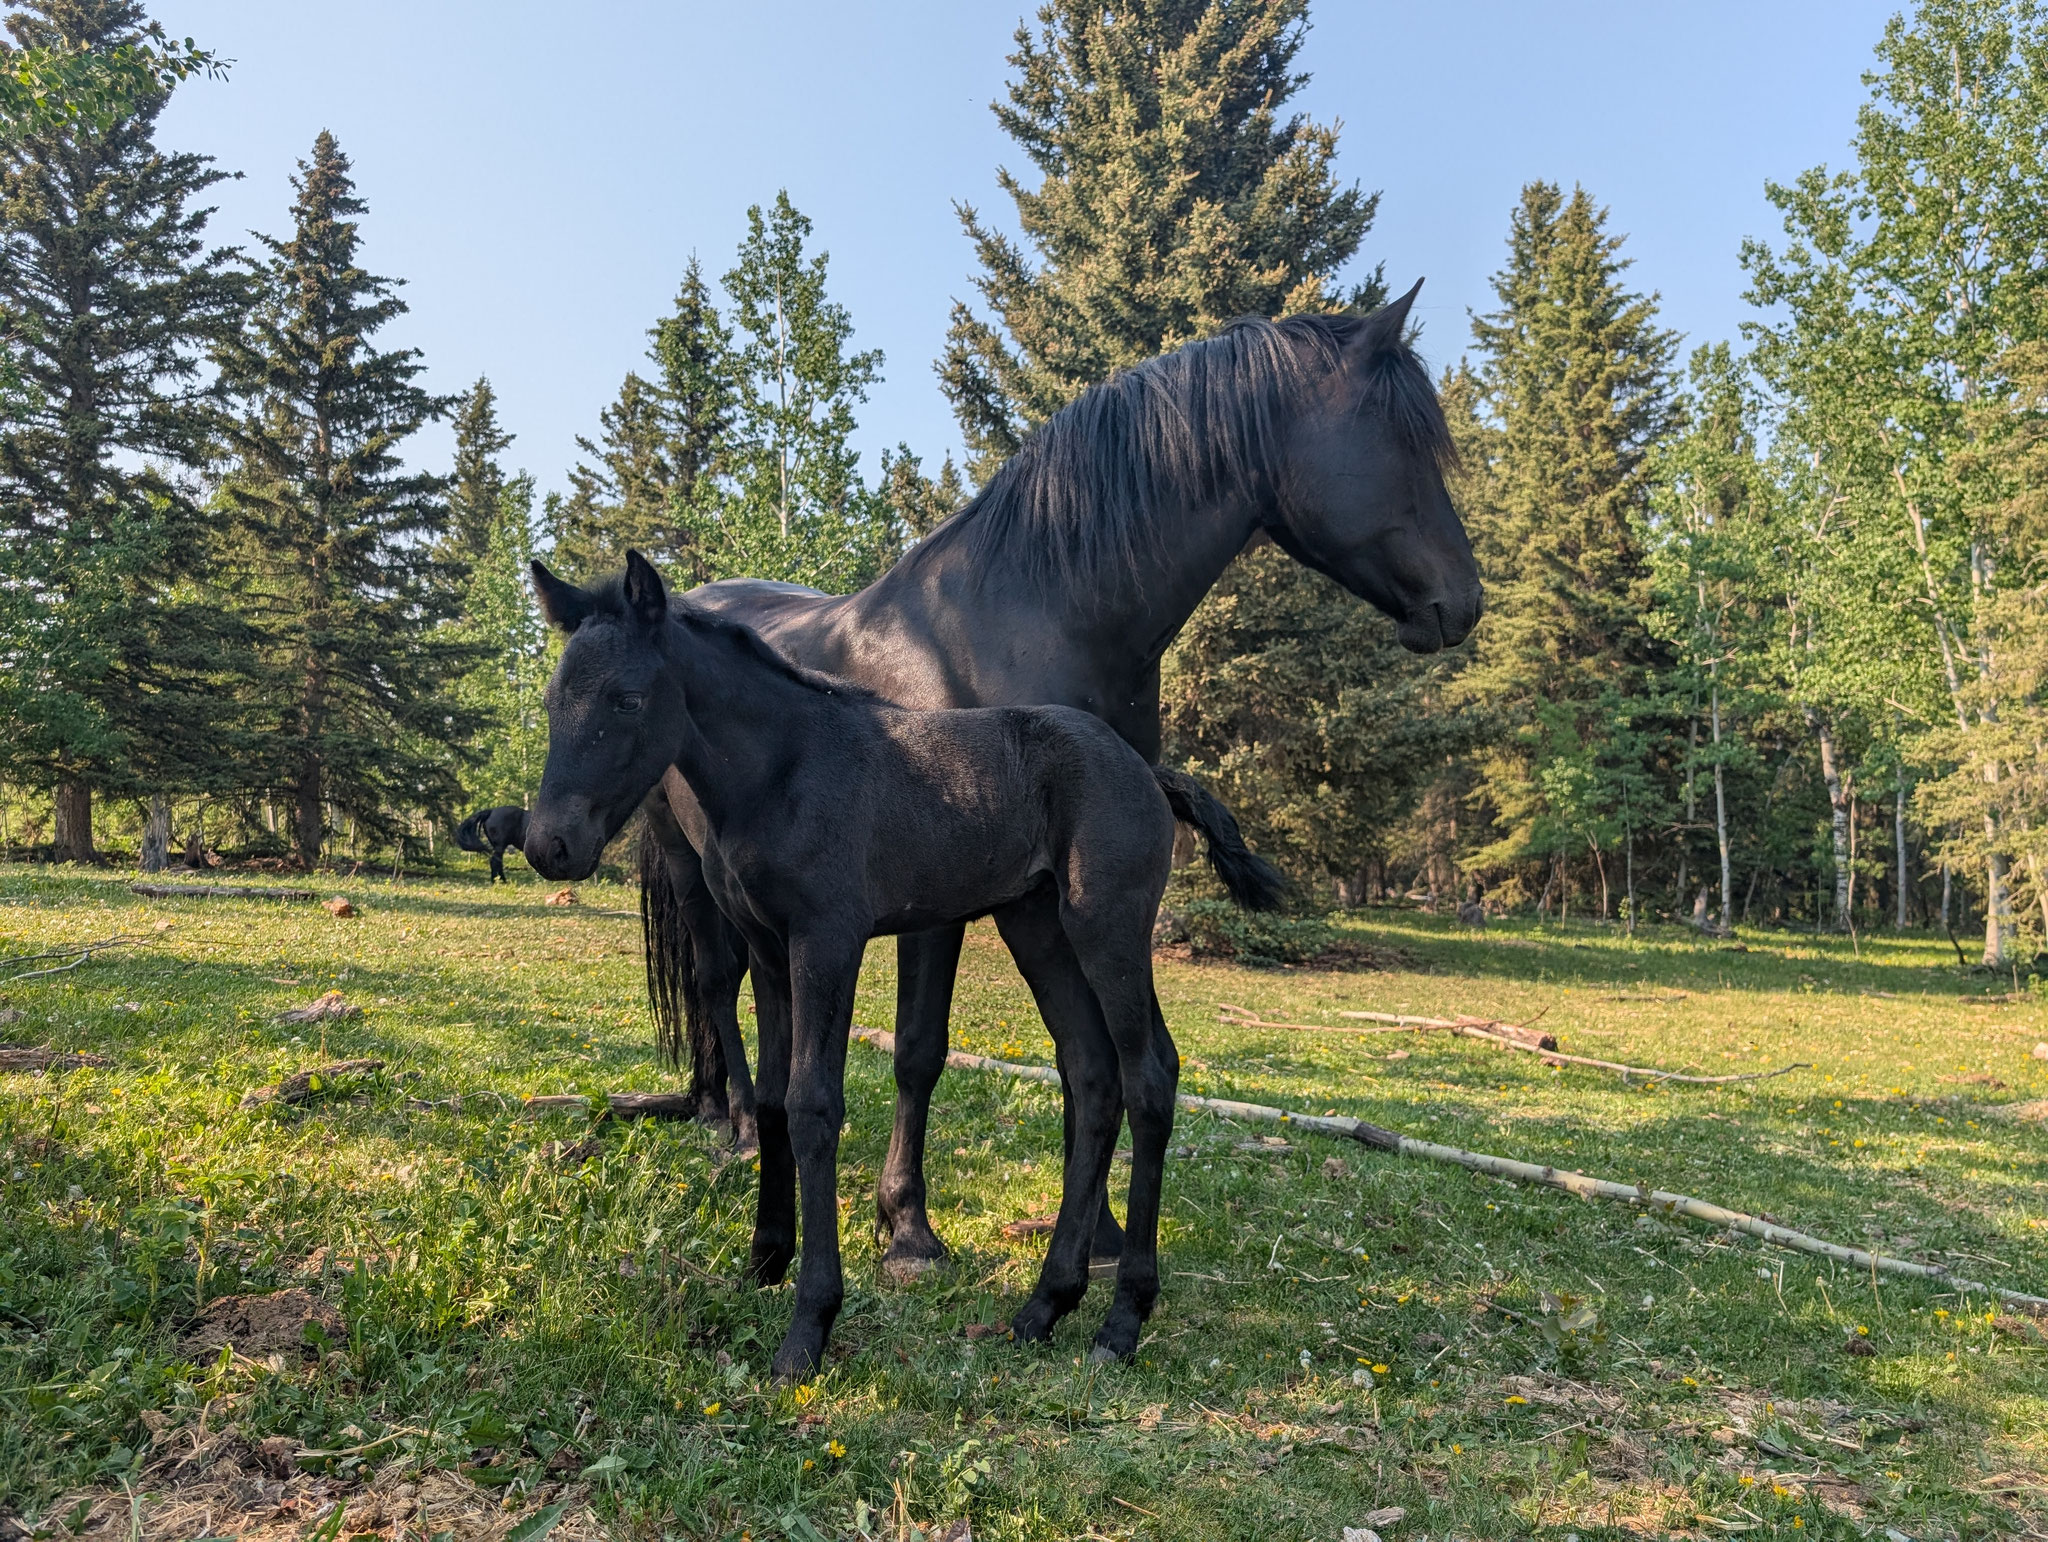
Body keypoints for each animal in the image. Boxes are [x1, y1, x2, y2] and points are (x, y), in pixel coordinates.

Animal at [526, 552, 1281, 1376]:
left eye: (628, 698)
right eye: (552, 699)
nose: (548, 845)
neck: (783, 771)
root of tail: (1148, 770)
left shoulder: (828, 938)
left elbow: (814, 1106)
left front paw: (809, 1324)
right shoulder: (768, 947)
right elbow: (772, 1100)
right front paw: (763, 1262)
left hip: (1106, 927)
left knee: (1150, 1077)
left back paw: (1122, 1320)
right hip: (1038, 929)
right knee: (1091, 1073)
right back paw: (1045, 1306)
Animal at [641, 283, 1482, 1274]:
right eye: (1405, 446)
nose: (1466, 601)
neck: (1021, 616)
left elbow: (1086, 1061)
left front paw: (1102, 1235)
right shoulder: (937, 897)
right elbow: (920, 1049)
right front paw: (908, 1227)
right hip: (694, 873)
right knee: (715, 984)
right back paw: (737, 1126)